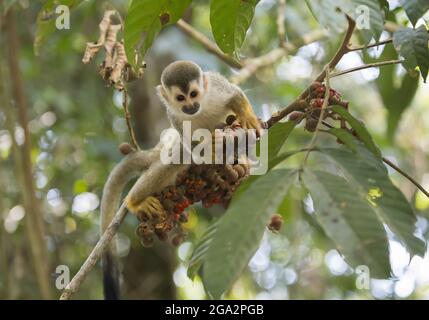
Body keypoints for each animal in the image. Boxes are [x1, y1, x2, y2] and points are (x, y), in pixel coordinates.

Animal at [100, 60, 260, 300]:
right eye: (180, 98)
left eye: (193, 94)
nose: (191, 106)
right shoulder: (174, 116)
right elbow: (192, 147)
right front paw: (210, 146)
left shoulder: (215, 88)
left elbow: (234, 94)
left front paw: (246, 114)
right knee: (178, 157)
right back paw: (134, 201)